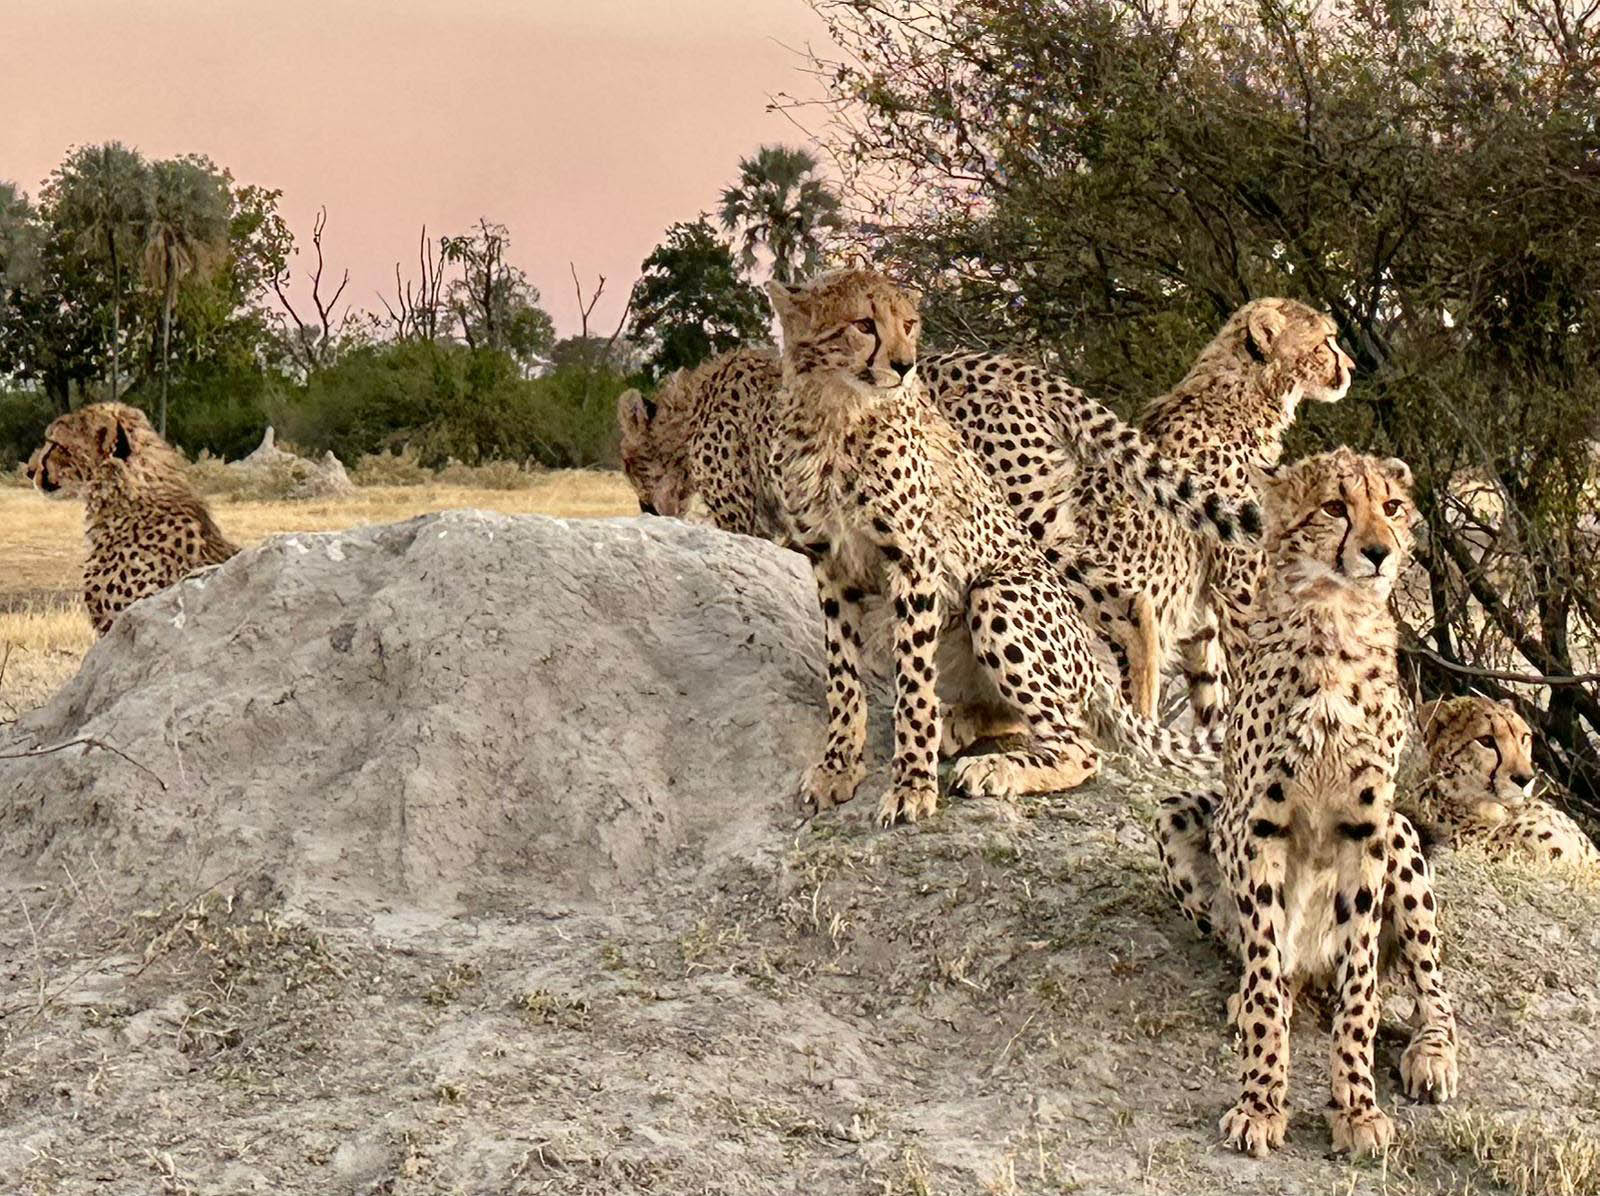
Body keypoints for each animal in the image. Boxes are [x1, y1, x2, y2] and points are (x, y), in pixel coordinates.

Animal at [760, 266, 1225, 826]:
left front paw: (912, 785)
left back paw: (994, 767)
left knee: (1080, 743)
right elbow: (842, 676)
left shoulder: (915, 559)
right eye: (863, 325)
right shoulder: (830, 567)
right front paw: (838, 767)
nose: (905, 366)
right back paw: (959, 726)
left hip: (1000, 586)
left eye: (909, 324)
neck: (836, 413)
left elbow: (913, 681)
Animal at [1066, 299, 1355, 726]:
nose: (1351, 367)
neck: (1243, 397)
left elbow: (1214, 692)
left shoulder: (1201, 614)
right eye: (1325, 341)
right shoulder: (1240, 587)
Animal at [1152, 447, 1459, 1157]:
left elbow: (1361, 989)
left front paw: (1358, 1108)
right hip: (1182, 821)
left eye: (1392, 507)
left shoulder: (1368, 826)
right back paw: (1255, 998)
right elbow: (1266, 971)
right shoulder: (1256, 827)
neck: (1333, 624)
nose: (1379, 552)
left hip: (1403, 837)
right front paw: (1261, 1102)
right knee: (1269, 967)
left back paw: (1431, 1052)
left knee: (1429, 986)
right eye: (1335, 507)